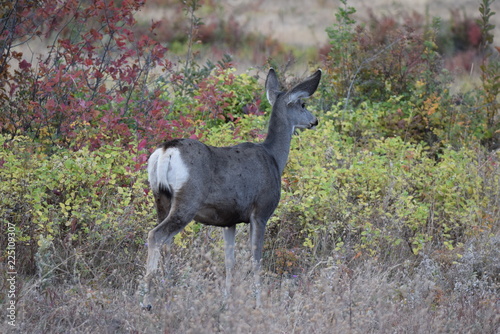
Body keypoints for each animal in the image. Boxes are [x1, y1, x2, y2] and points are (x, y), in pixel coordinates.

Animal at [141, 68, 322, 310]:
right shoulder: (260, 212)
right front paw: (258, 303)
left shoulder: (229, 220)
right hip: (188, 200)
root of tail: (165, 151)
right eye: (302, 104)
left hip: (160, 198)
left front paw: (226, 300)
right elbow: (256, 260)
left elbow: (230, 261)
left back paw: (165, 291)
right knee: (156, 235)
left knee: (165, 241)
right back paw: (147, 300)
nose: (315, 120)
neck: (274, 158)